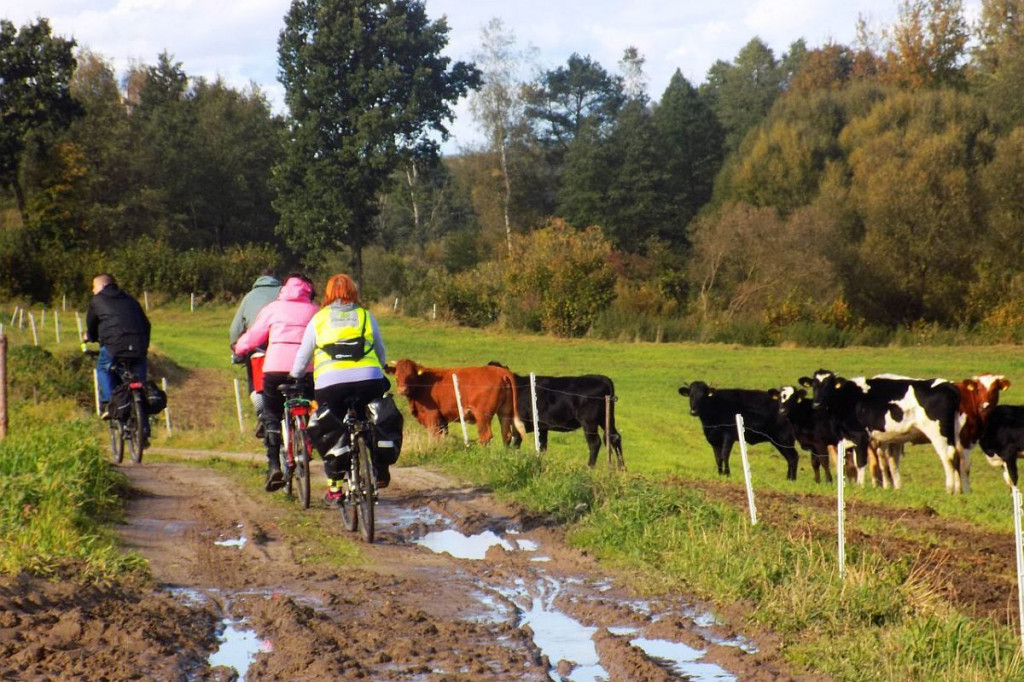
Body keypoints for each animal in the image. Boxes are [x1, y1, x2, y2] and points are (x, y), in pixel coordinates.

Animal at [385, 356, 524, 446]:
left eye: (411, 375)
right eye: (397, 375)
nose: (402, 390)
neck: (423, 383)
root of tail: (501, 371)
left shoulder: (432, 416)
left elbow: (434, 436)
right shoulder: (442, 419)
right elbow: (442, 435)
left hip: (482, 415)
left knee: (485, 436)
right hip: (505, 412)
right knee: (506, 435)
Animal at [487, 360, 622, 466]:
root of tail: (603, 378)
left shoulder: (519, 424)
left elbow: (515, 444)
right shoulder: (541, 427)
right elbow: (542, 447)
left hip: (589, 421)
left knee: (595, 443)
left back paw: (589, 467)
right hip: (606, 418)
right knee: (614, 437)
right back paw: (621, 468)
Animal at [798, 368, 966, 491]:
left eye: (829, 386)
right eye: (814, 385)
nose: (817, 404)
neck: (846, 398)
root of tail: (948, 385)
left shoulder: (860, 436)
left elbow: (861, 462)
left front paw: (860, 486)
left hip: (938, 433)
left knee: (947, 456)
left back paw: (949, 488)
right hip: (954, 433)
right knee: (958, 455)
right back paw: (960, 490)